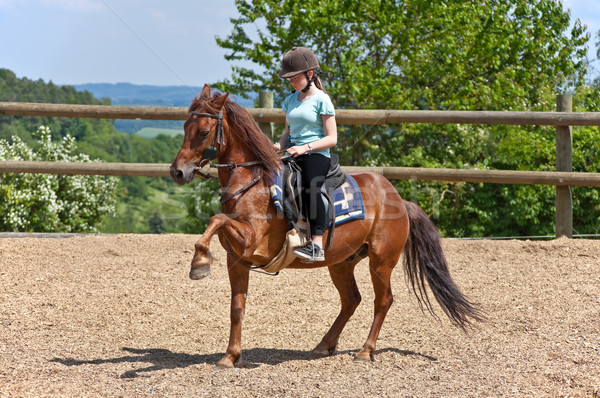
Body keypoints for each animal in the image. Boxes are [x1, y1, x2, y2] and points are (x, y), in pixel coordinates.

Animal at [170, 84, 482, 370]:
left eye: (203, 131)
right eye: (185, 126)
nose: (177, 172)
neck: (251, 180)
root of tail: (399, 200)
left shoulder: (250, 240)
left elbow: (216, 220)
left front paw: (199, 263)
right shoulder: (236, 259)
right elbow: (237, 307)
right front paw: (229, 356)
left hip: (381, 262)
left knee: (383, 300)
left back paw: (365, 351)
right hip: (342, 263)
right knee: (351, 300)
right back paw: (324, 345)